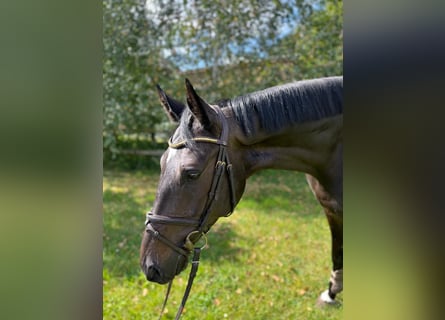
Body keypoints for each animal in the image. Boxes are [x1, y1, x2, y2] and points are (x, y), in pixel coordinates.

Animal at [140, 77, 342, 308]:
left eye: (192, 173)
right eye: (162, 163)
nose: (149, 266)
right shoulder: (331, 209)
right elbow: (337, 252)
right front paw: (331, 294)